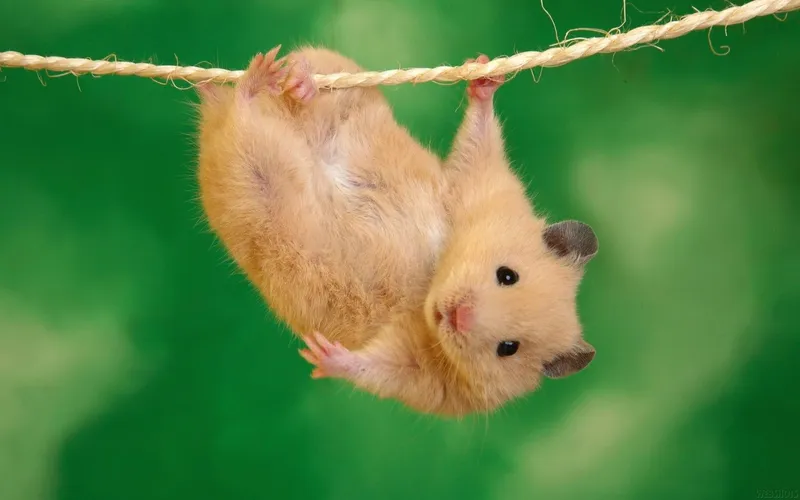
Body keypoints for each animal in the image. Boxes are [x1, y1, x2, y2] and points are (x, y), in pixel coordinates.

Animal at [194, 45, 599, 418]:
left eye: (508, 348)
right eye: (507, 275)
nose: (457, 316)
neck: (432, 282)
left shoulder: (426, 378)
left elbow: (378, 369)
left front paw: (321, 354)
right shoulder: (476, 186)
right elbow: (477, 142)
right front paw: (484, 73)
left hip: (250, 179)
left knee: (241, 121)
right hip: (343, 90)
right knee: (309, 75)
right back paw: (288, 78)